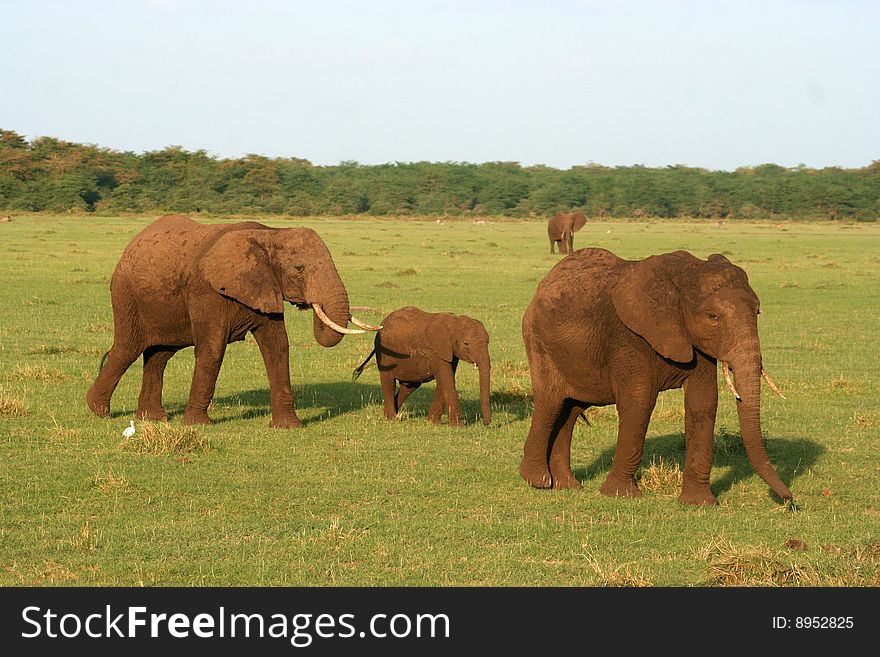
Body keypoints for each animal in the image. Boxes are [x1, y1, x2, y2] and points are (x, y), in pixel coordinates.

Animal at [83, 215, 382, 428]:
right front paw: (197, 425)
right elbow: (213, 349)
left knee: (159, 355)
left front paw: (288, 427)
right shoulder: (207, 291)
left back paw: (152, 418)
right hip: (125, 293)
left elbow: (277, 347)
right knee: (127, 349)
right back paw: (99, 411)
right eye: (299, 269)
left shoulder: (266, 288)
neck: (270, 233)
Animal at [350, 306, 492, 426]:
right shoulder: (434, 350)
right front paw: (457, 426)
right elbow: (446, 379)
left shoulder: (450, 352)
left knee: (409, 386)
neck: (453, 322)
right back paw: (391, 418)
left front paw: (432, 422)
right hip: (383, 351)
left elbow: (445, 379)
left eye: (488, 342)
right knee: (389, 382)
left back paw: (388, 414)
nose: (485, 423)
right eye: (466, 343)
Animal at [520, 249, 796, 504]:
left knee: (571, 409)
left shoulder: (695, 342)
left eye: (757, 312)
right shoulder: (630, 336)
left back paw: (567, 485)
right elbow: (639, 401)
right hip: (537, 340)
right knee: (551, 402)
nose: (789, 499)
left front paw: (699, 503)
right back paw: (537, 481)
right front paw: (621, 495)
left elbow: (703, 401)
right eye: (713, 317)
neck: (685, 275)